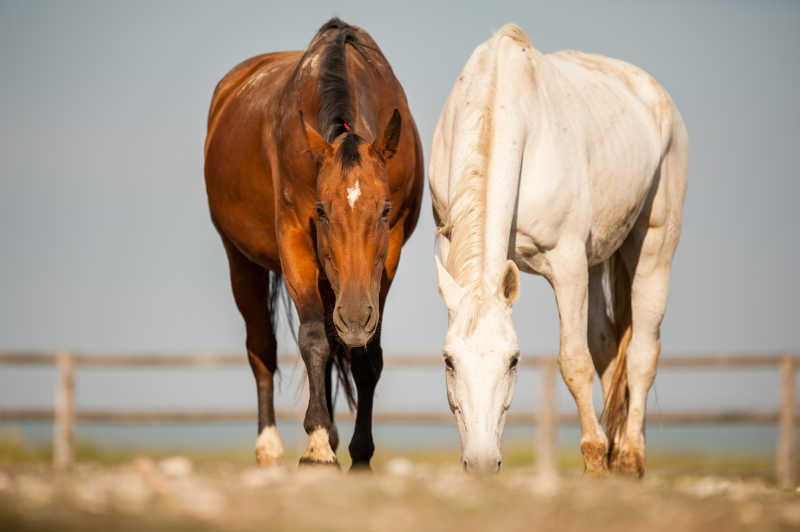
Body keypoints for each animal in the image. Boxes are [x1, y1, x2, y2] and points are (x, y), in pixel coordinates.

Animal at [203, 17, 424, 470]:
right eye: (321, 210)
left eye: (385, 210)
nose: (354, 316)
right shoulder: (294, 241)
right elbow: (313, 339)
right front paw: (318, 447)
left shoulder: (387, 258)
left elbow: (366, 357)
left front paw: (360, 454)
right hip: (241, 261)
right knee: (262, 349)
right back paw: (269, 448)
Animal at [432, 25, 688, 474]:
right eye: (449, 360)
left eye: (514, 360)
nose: (481, 462)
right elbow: (591, 354)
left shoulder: (565, 263)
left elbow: (573, 360)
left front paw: (594, 459)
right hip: (596, 260)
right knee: (608, 348)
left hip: (653, 250)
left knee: (642, 352)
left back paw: (627, 457)